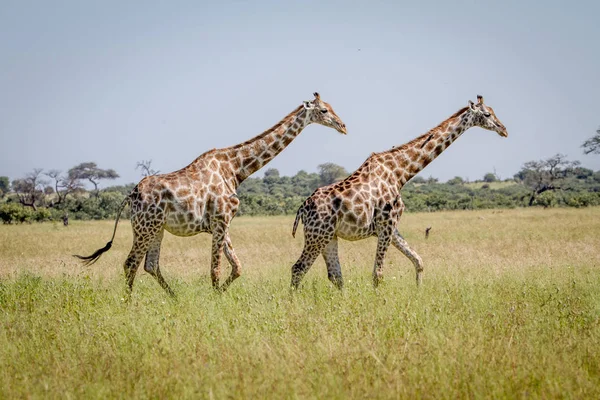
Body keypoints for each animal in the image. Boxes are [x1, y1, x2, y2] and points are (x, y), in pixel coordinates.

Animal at [75, 92, 346, 296]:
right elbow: (216, 269)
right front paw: (216, 301)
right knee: (130, 262)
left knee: (150, 265)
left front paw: (220, 296)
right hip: (145, 227)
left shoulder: (221, 223)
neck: (235, 168)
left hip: (155, 228)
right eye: (324, 111)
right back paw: (128, 302)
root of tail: (131, 194)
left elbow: (236, 267)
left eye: (332, 107)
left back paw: (174, 298)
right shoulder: (220, 219)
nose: (343, 126)